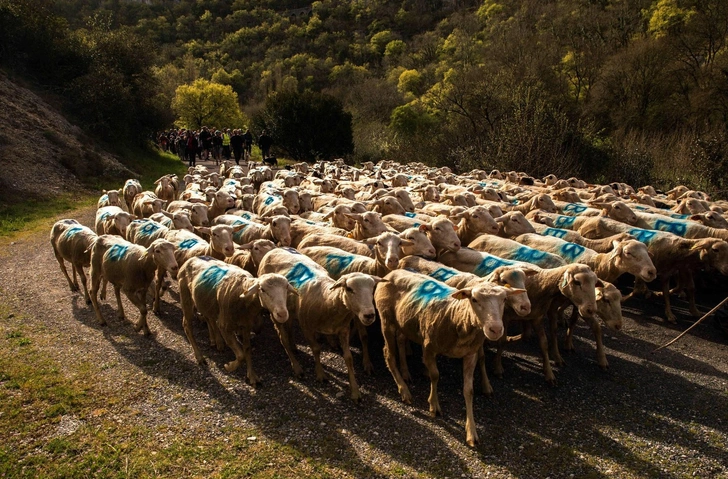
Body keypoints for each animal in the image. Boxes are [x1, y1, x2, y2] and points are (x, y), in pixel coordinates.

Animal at [178, 256, 294, 384]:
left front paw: (252, 376)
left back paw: (215, 340)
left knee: (209, 318)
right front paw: (229, 366)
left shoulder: (246, 325)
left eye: (286, 288)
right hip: (186, 297)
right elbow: (241, 355)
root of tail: (192, 258)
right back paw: (200, 357)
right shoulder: (224, 326)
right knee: (187, 326)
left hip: (206, 302)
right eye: (262, 289)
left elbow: (247, 350)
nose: (282, 314)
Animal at [256, 248, 382, 402]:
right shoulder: (307, 327)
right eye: (349, 288)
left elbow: (348, 357)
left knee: (289, 327)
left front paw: (355, 391)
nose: (369, 315)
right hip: (274, 310)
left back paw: (294, 347)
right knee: (283, 338)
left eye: (373, 288)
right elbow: (316, 349)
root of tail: (274, 249)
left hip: (288, 309)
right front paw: (321, 374)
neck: (327, 300)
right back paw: (297, 367)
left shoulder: (343, 329)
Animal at [372, 270, 520, 446]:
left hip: (404, 322)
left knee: (401, 340)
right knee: (388, 354)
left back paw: (406, 373)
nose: (496, 329)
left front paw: (471, 432)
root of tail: (392, 272)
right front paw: (434, 405)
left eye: (504, 299)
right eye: (474, 299)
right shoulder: (428, 347)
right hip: (386, 319)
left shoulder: (470, 354)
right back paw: (404, 390)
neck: (458, 317)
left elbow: (468, 390)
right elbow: (435, 376)